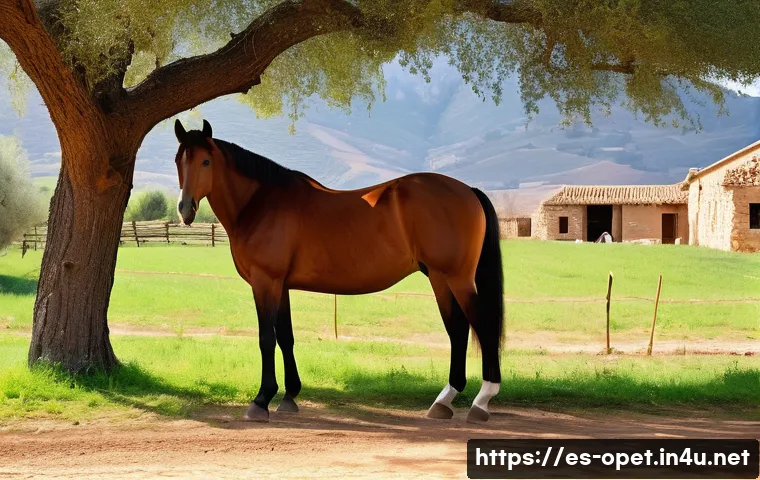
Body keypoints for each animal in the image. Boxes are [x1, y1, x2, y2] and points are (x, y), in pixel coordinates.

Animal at [173, 119, 505, 423]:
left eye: (205, 161)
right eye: (179, 160)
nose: (186, 209)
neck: (260, 203)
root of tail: (468, 190)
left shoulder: (265, 281)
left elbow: (266, 338)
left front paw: (261, 400)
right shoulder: (281, 285)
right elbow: (286, 337)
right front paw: (289, 396)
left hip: (456, 277)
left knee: (482, 325)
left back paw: (481, 401)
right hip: (438, 277)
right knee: (458, 329)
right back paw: (444, 401)